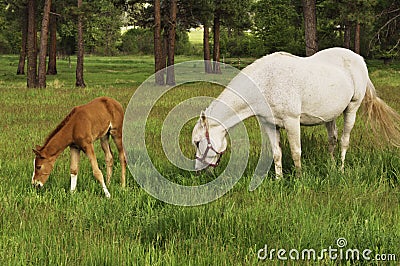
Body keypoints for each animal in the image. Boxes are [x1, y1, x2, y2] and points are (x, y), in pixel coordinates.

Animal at [191, 47, 400, 179]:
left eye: (198, 142)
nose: (198, 171)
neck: (266, 82)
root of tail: (359, 59)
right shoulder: (270, 124)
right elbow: (276, 153)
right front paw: (279, 180)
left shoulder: (292, 122)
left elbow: (295, 152)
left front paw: (299, 179)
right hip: (330, 116)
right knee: (332, 139)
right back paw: (332, 166)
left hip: (352, 109)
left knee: (344, 141)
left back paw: (340, 169)